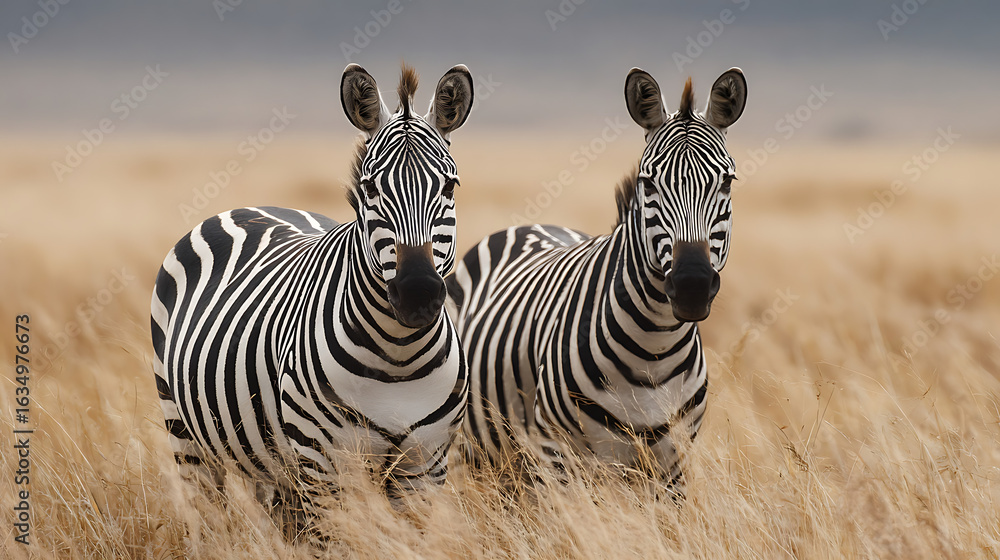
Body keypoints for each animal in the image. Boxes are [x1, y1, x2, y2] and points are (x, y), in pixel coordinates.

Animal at [150, 63, 474, 534]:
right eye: (370, 188)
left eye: (449, 187)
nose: (418, 294)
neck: (399, 357)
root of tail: (251, 207)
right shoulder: (324, 466)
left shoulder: (424, 466)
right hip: (184, 431)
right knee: (206, 513)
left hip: (272, 464)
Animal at [448, 67, 747, 493]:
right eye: (648, 183)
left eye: (726, 183)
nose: (692, 286)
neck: (653, 352)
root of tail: (528, 225)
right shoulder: (557, 455)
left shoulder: (672, 464)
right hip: (478, 453)